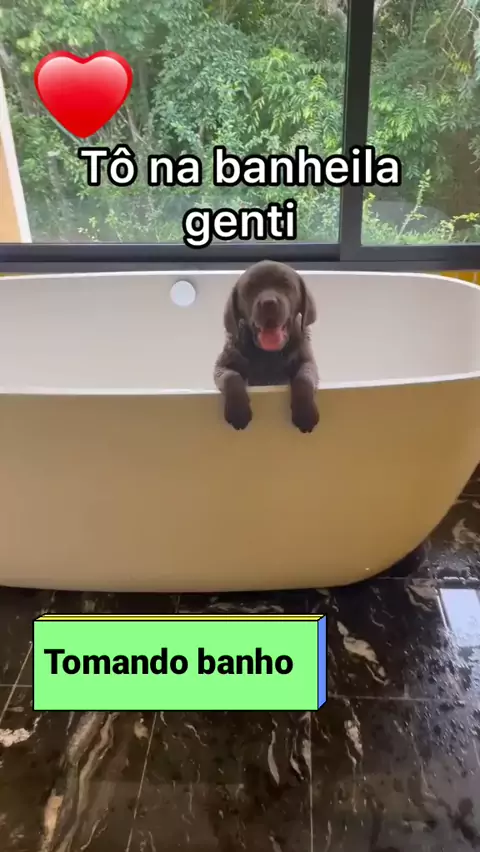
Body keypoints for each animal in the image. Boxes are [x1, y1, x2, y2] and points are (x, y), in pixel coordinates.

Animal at [214, 260, 319, 433]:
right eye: (250, 287)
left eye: (286, 283)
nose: (268, 303)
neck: (269, 354)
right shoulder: (223, 365)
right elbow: (232, 378)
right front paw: (238, 412)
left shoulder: (306, 361)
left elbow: (303, 378)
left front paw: (305, 414)